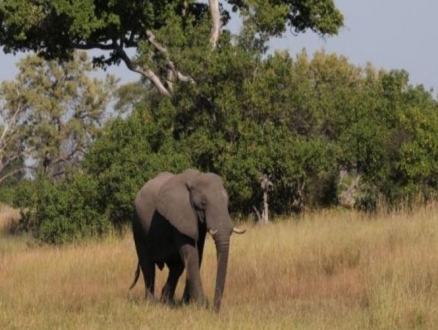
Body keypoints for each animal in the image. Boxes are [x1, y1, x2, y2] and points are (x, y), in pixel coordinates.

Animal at [130, 169, 245, 310]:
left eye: (227, 201)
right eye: (203, 204)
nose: (215, 309)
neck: (196, 178)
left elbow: (197, 254)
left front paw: (188, 303)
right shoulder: (180, 217)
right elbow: (191, 254)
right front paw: (200, 305)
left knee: (176, 267)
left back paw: (166, 301)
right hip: (138, 224)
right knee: (147, 265)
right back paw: (151, 303)